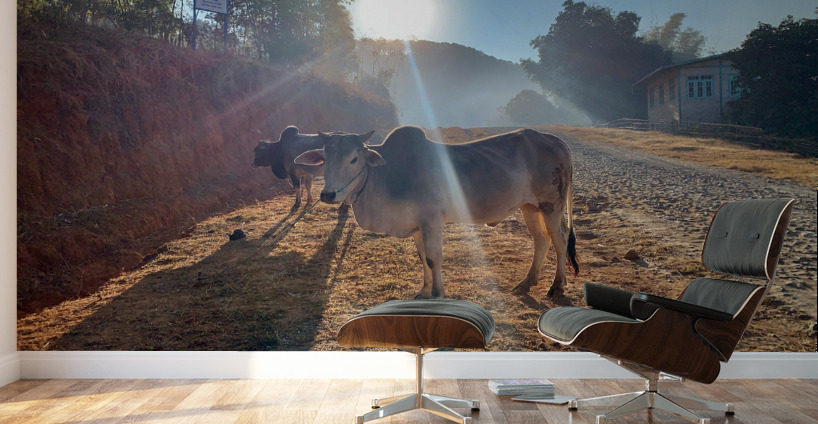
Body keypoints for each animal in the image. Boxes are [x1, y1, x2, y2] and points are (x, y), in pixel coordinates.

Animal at [295, 125, 578, 299]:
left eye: (354, 159)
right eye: (324, 159)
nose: (328, 195)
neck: (386, 175)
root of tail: (556, 141)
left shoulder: (431, 219)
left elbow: (434, 258)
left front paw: (438, 293)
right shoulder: (417, 225)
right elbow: (423, 259)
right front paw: (424, 290)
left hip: (552, 205)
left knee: (560, 239)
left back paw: (556, 285)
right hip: (529, 207)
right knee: (541, 240)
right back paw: (528, 281)